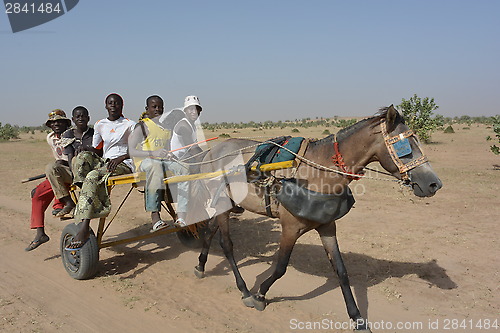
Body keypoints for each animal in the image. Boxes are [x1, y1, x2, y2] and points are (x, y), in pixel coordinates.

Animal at [191, 105, 442, 330]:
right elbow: (280, 267)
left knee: (210, 231)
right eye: (404, 145)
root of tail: (212, 152)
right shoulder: (290, 228)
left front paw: (357, 318)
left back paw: (201, 266)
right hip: (224, 205)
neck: (320, 170)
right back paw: (244, 290)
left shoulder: (327, 226)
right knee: (226, 244)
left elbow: (341, 271)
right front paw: (260, 294)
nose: (434, 183)